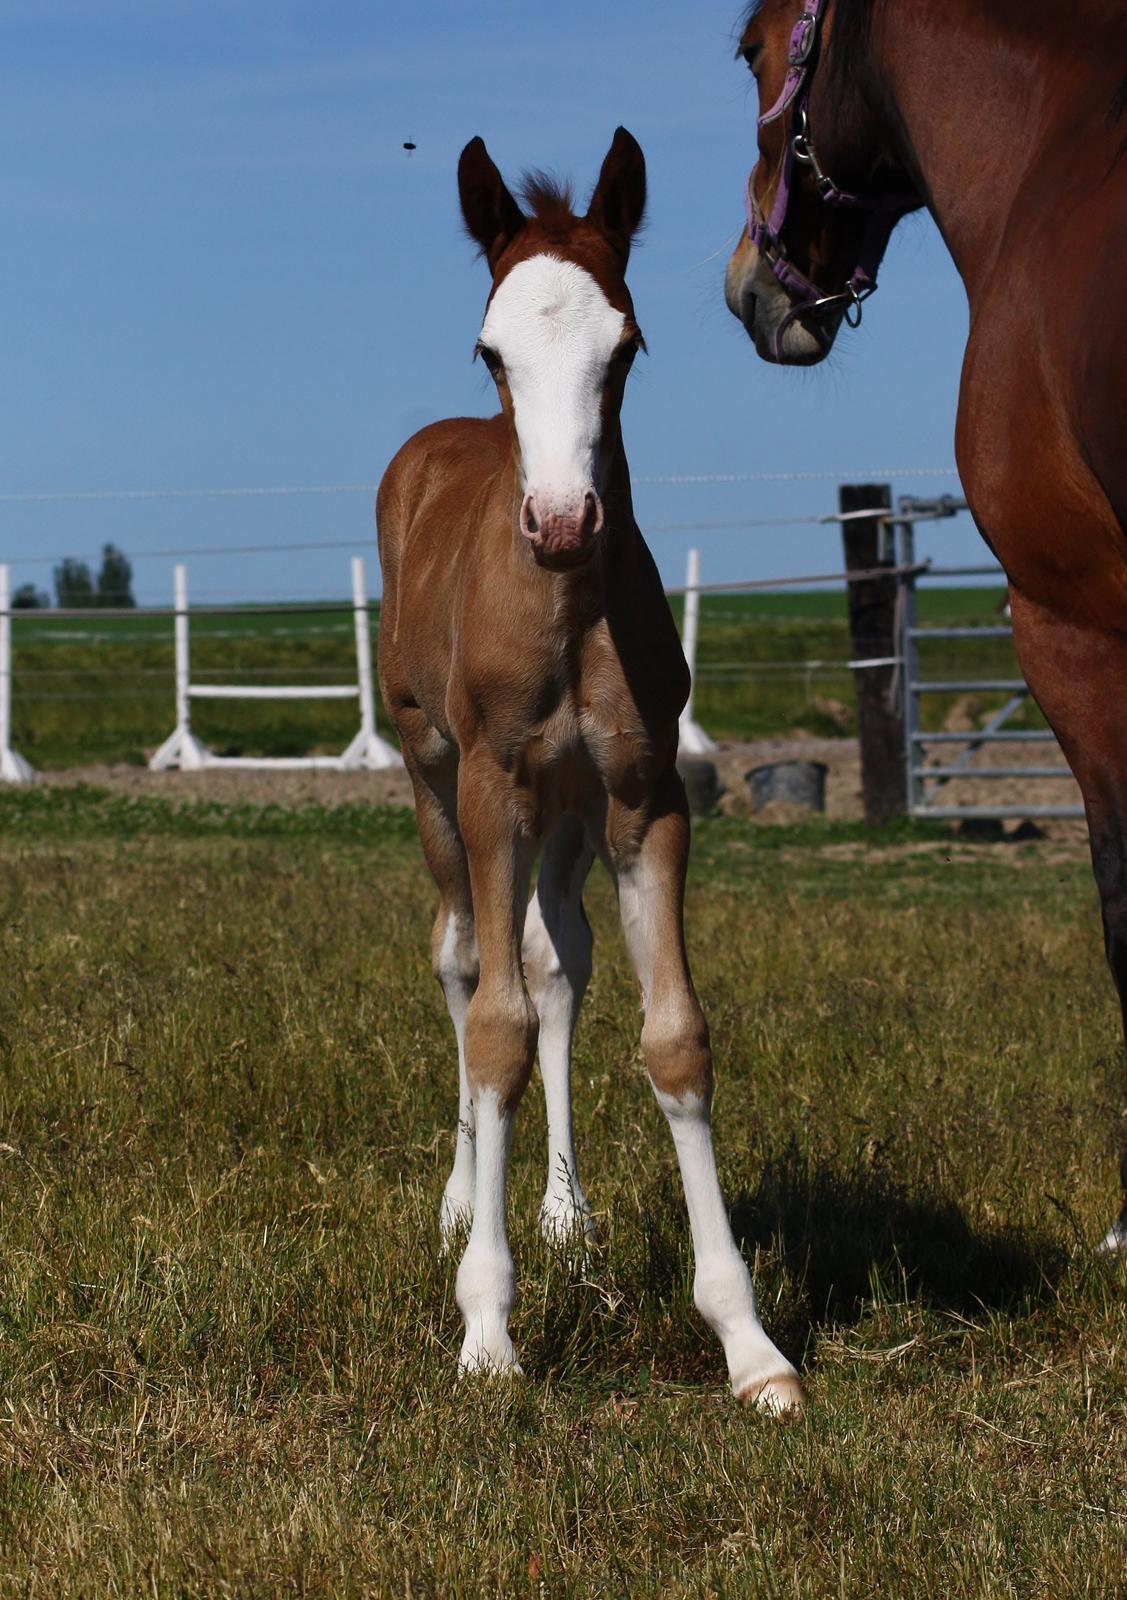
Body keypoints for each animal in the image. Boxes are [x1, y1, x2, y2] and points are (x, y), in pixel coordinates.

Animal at [377, 134, 800, 1414]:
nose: (562, 521)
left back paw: (564, 1213)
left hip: (562, 816)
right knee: (463, 958)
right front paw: (484, 1326)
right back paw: (464, 1197)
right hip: (432, 776)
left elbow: (669, 1038)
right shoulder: (491, 788)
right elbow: (494, 1029)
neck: (563, 609)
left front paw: (747, 1342)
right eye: (490, 348)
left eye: (625, 347)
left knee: (552, 962)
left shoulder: (641, 799)